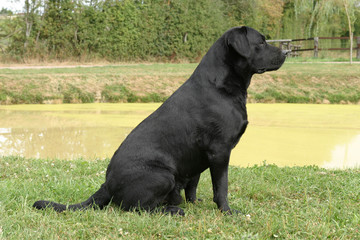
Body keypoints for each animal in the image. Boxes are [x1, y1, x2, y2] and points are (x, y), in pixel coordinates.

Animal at [33, 26, 286, 216]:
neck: (221, 86)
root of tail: (106, 185)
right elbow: (221, 187)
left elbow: (193, 184)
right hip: (163, 175)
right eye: (261, 42)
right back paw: (172, 210)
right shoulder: (220, 150)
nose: (285, 53)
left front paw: (195, 203)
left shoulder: (198, 156)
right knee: (137, 208)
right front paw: (227, 211)